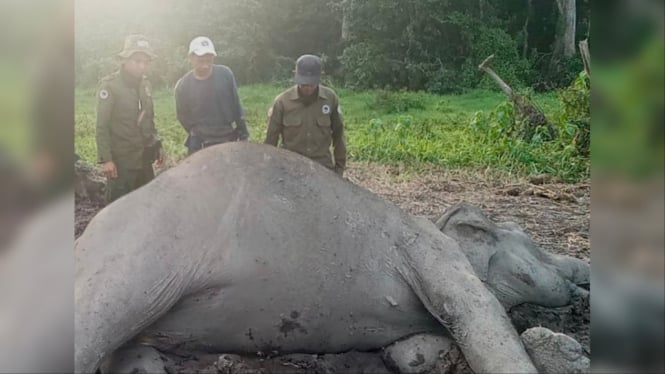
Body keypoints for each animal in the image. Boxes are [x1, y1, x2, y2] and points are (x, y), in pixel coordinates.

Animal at [75, 142, 588, 372]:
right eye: (529, 239)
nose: (581, 272)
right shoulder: (431, 251)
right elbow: (482, 319)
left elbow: (413, 354)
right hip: (140, 256)